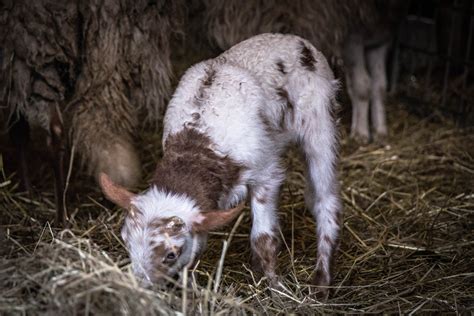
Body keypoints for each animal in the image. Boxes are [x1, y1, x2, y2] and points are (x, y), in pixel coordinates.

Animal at [102, 34, 342, 296]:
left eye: (171, 255)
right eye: (125, 240)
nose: (138, 288)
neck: (197, 144)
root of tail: (296, 40)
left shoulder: (266, 174)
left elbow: (263, 239)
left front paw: (275, 288)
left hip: (319, 122)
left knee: (324, 198)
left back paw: (322, 280)